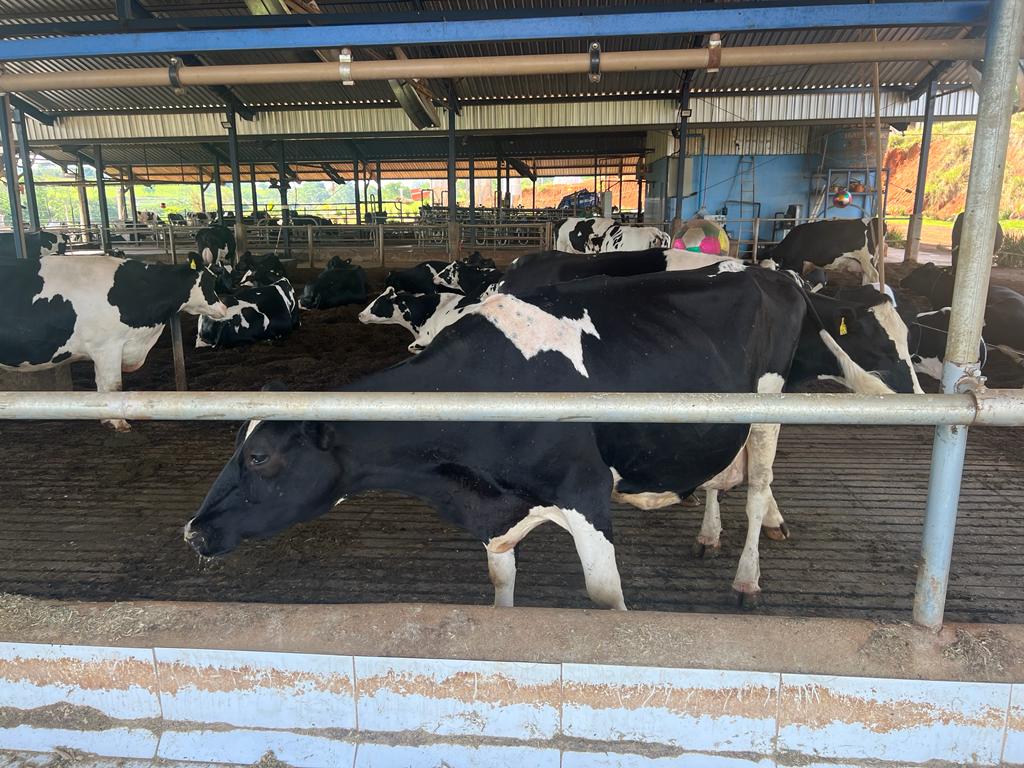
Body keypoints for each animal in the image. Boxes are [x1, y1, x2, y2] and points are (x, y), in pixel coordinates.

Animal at [0, 254, 231, 431]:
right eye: (208, 282)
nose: (223, 308)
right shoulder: (108, 347)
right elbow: (113, 387)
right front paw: (120, 423)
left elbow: (101, 386)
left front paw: (105, 419)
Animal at [185, 265, 919, 609]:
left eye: (261, 456)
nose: (193, 532)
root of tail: (767, 270)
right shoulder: (495, 515)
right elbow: (502, 590)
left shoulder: (585, 494)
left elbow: (605, 600)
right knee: (717, 473)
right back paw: (708, 535)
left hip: (766, 406)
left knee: (758, 483)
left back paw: (746, 575)